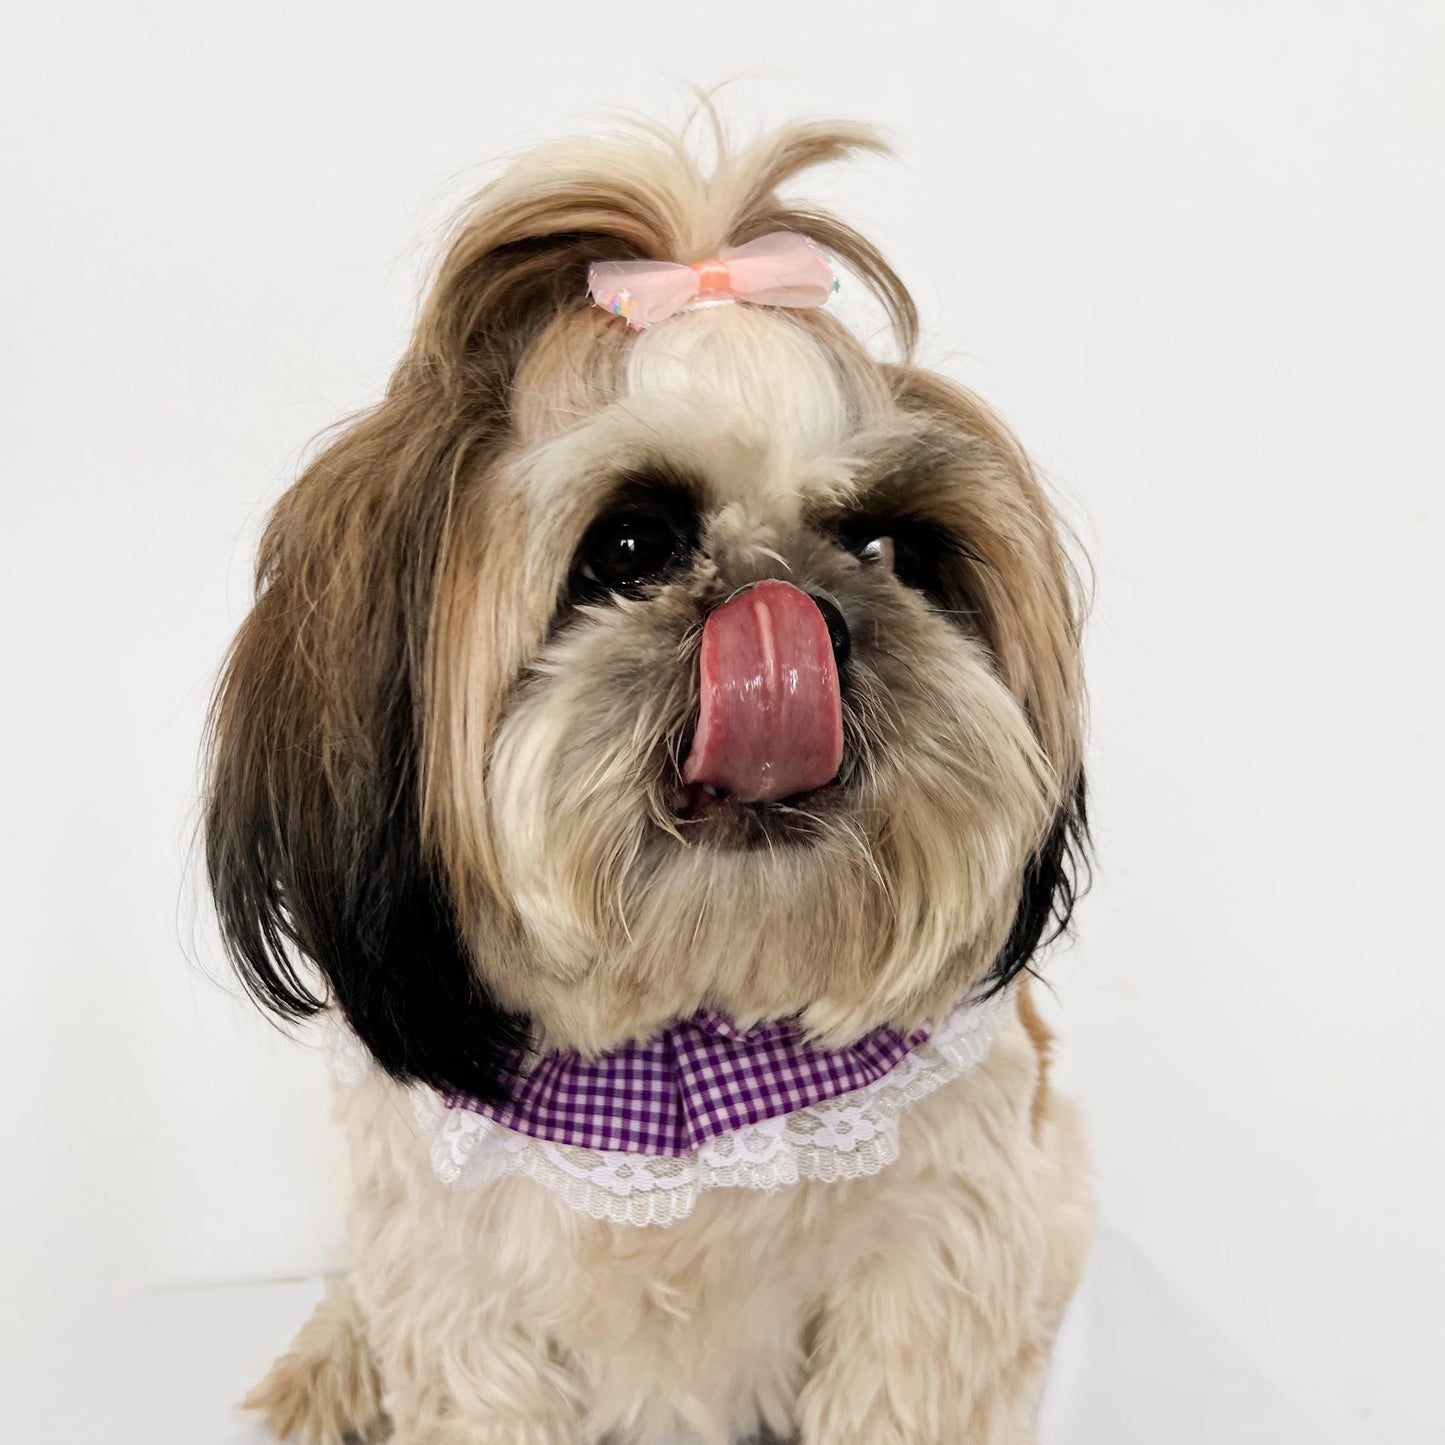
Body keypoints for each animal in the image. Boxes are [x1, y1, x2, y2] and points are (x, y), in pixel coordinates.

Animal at [206, 112, 1092, 1445]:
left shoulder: (932, 1275)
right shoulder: (462, 1300)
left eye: (893, 544)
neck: (685, 1018)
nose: (806, 609)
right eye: (629, 546)